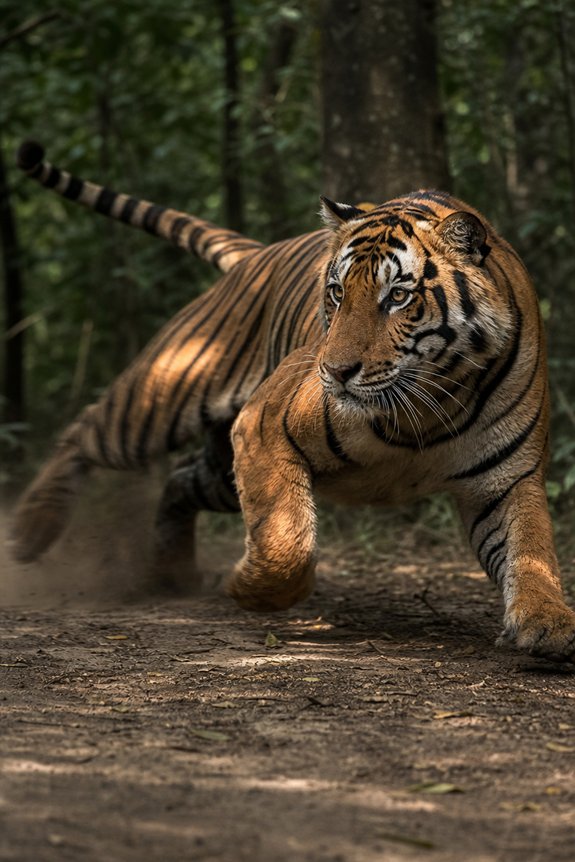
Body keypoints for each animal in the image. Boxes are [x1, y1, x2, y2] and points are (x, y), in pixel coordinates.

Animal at [9, 141, 575, 664]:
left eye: (398, 296)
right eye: (337, 292)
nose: (336, 371)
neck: (436, 397)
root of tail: (257, 253)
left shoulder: (506, 479)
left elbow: (531, 552)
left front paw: (550, 625)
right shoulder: (262, 425)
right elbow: (287, 544)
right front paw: (247, 589)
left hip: (219, 472)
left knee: (178, 478)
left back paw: (171, 572)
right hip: (164, 390)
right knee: (85, 432)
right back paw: (30, 531)